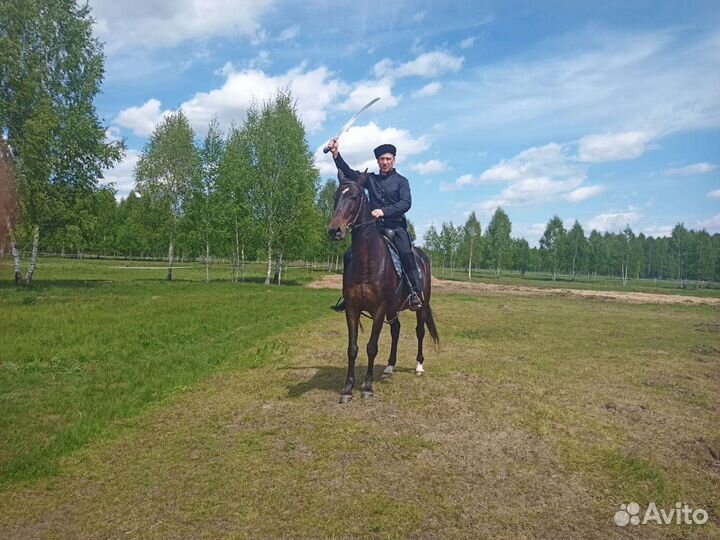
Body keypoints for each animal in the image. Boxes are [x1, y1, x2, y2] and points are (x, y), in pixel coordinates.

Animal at [327, 169, 439, 404]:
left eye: (355, 197)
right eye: (335, 196)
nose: (335, 230)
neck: (368, 262)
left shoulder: (378, 310)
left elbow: (371, 347)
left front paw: (368, 387)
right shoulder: (352, 309)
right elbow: (352, 348)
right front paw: (347, 389)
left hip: (421, 306)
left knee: (420, 331)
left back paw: (419, 366)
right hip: (393, 309)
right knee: (396, 330)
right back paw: (389, 367)